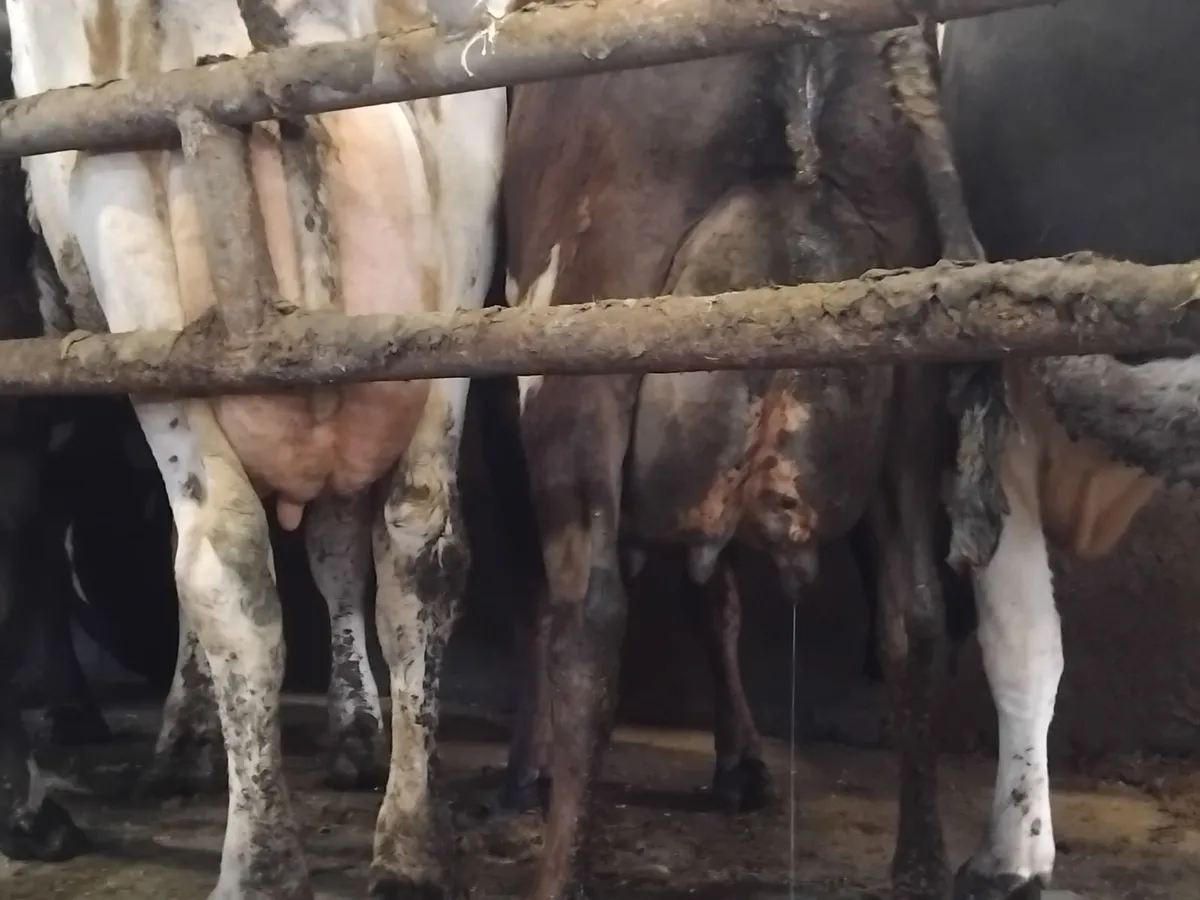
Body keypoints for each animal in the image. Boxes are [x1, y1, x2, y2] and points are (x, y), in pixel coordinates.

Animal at [8, 0, 509, 897]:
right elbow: (338, 552)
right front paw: (351, 723)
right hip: (458, 265)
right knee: (421, 544)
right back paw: (410, 843)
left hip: (131, 242)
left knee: (223, 560)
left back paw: (259, 861)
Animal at [502, 23, 983, 900]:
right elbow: (716, 595)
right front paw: (742, 763)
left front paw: (526, 770)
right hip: (912, 392)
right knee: (916, 612)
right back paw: (920, 865)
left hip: (579, 365)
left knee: (590, 621)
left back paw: (557, 870)